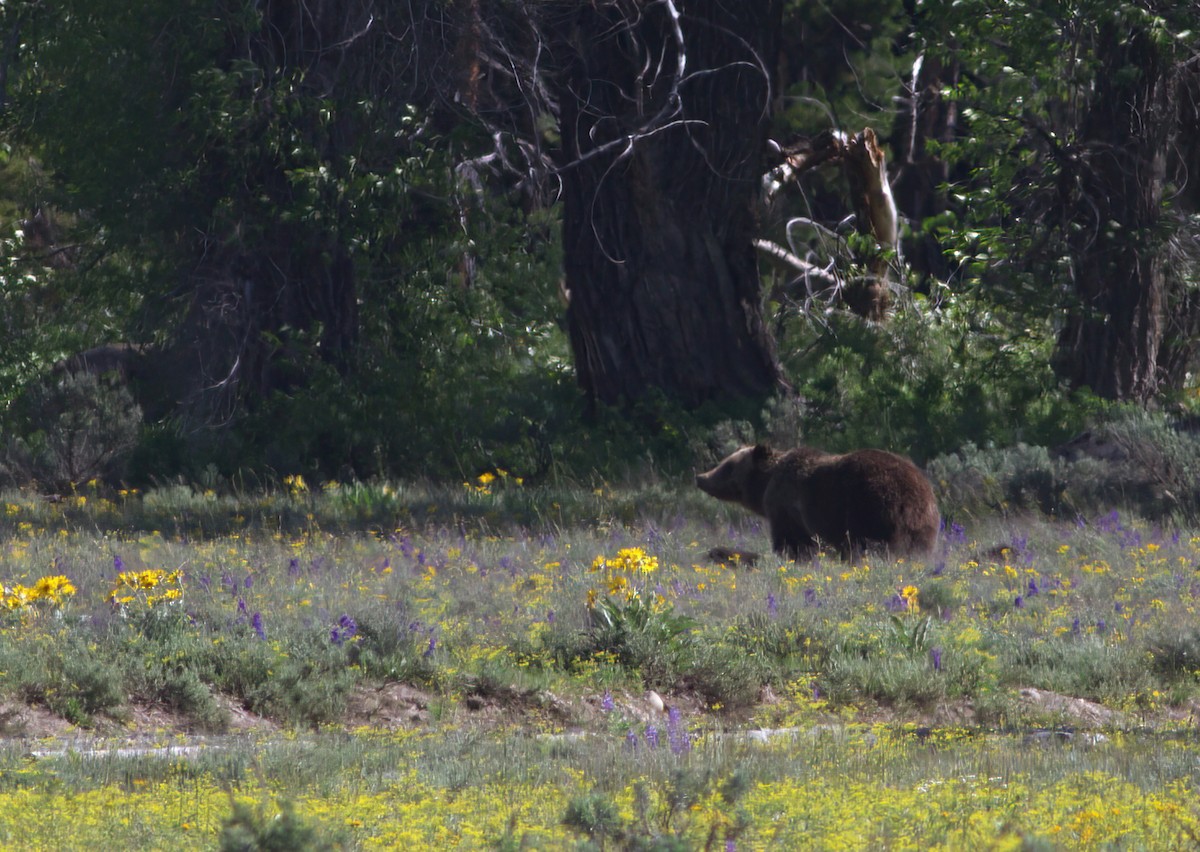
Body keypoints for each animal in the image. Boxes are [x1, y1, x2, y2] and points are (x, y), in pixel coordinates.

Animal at [696, 444, 939, 560]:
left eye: (727, 466)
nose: (700, 477)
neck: (766, 484)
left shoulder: (786, 508)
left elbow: (792, 544)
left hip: (870, 509)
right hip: (923, 527)